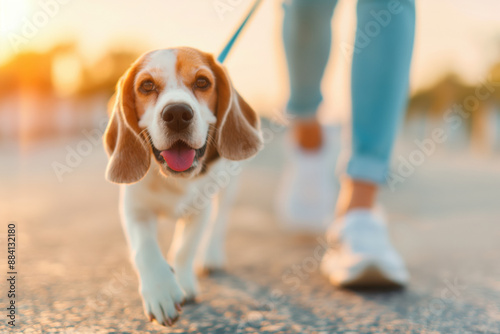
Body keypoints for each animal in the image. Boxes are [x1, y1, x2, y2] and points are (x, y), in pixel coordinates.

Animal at [103, 47, 264, 326]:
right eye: (146, 86)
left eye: (202, 82)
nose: (177, 113)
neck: (174, 180)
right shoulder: (134, 210)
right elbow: (145, 249)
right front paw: (161, 290)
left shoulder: (200, 210)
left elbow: (184, 248)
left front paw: (183, 282)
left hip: (228, 187)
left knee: (220, 220)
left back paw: (211, 256)